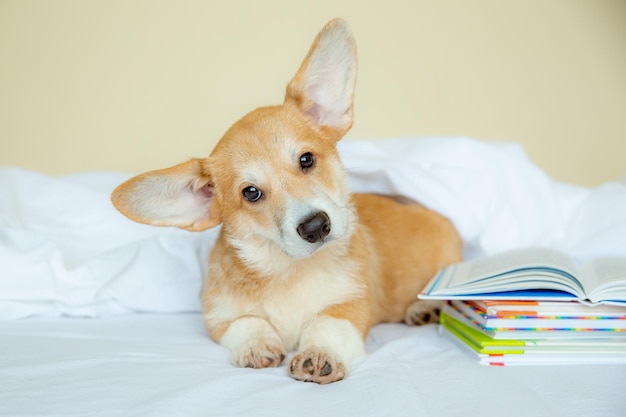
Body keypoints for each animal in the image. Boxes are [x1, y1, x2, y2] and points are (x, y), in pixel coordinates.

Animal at [112, 19, 460, 384]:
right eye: (251, 193)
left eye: (306, 159)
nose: (315, 226)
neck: (288, 271)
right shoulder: (218, 316)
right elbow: (246, 322)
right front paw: (256, 346)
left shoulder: (351, 306)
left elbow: (326, 325)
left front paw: (319, 353)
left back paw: (425, 306)